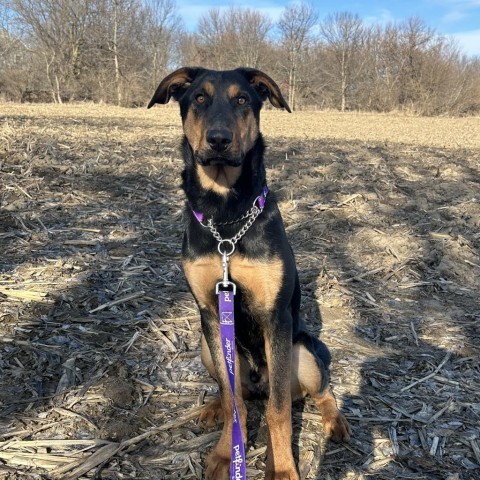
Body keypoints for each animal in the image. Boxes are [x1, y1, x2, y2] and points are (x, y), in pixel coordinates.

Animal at [148, 67, 350, 480]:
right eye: (199, 98)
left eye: (242, 99)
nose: (219, 140)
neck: (226, 215)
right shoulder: (211, 312)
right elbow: (232, 400)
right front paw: (228, 454)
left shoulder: (276, 317)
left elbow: (278, 410)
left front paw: (283, 468)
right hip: (206, 346)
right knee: (235, 391)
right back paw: (212, 407)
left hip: (302, 351)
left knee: (317, 391)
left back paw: (334, 421)